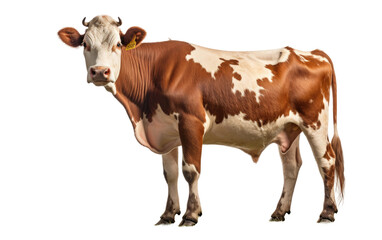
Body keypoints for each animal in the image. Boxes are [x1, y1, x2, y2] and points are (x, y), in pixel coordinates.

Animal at [58, 15, 344, 225]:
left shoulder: (191, 122)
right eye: (85, 44)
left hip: (314, 122)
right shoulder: (164, 128)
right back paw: (279, 211)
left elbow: (190, 170)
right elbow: (170, 173)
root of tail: (312, 52)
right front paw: (168, 214)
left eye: (117, 44)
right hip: (290, 127)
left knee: (327, 161)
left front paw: (190, 214)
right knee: (292, 167)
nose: (99, 72)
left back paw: (327, 212)